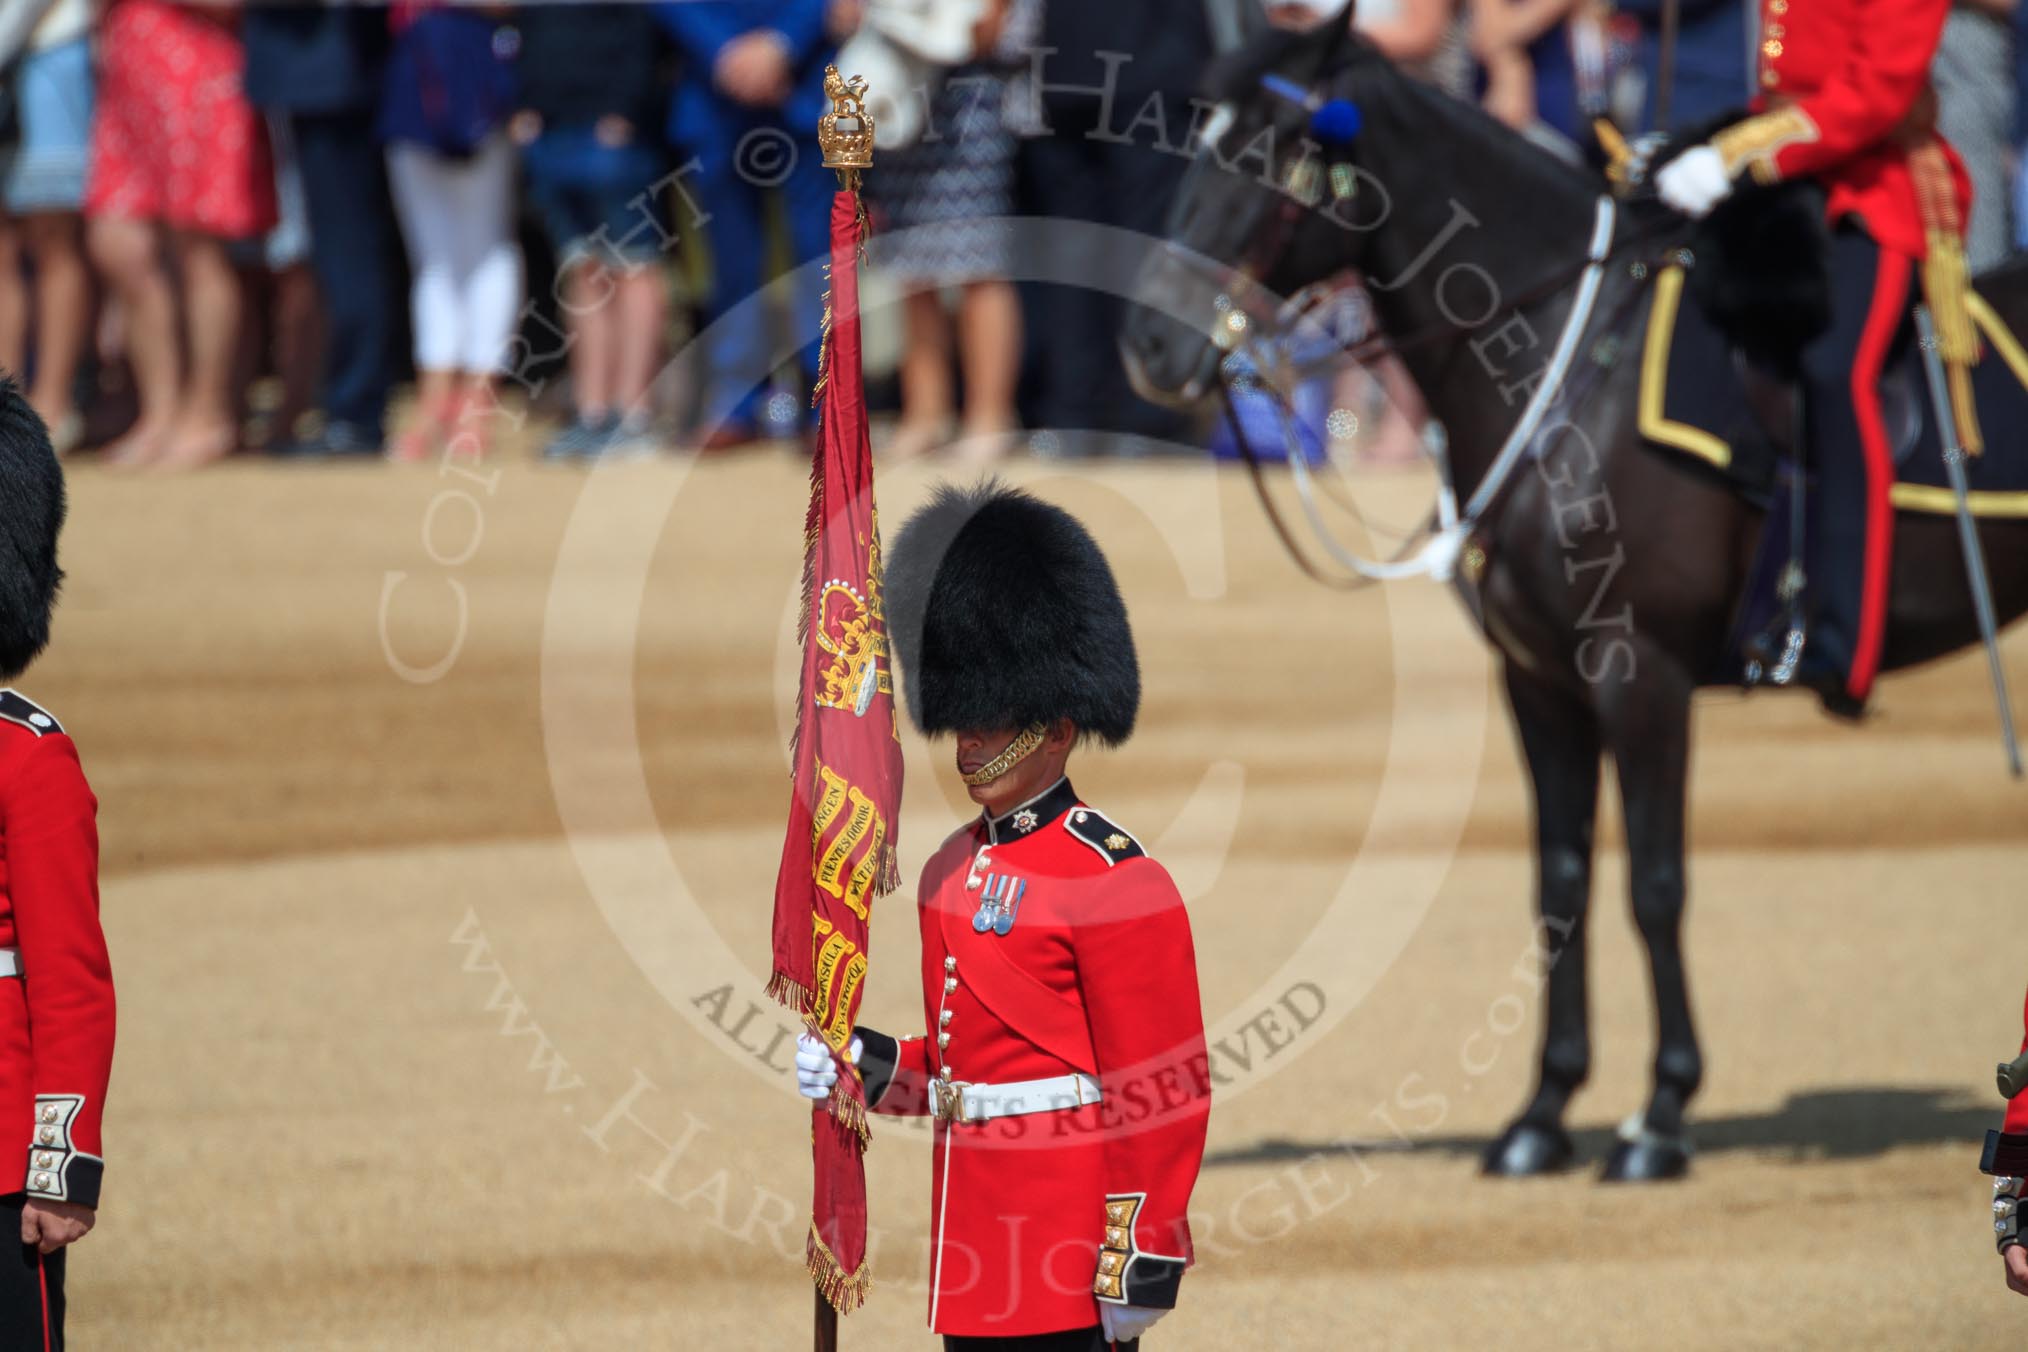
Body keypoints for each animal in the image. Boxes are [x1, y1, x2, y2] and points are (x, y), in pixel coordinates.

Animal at [1120, 18, 2028, 1180]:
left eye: (1277, 150)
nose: (1151, 349)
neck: (1560, 359)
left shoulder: (1640, 672)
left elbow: (1655, 883)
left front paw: (1662, 1115)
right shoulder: (1541, 680)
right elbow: (1559, 883)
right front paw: (1543, 1113)